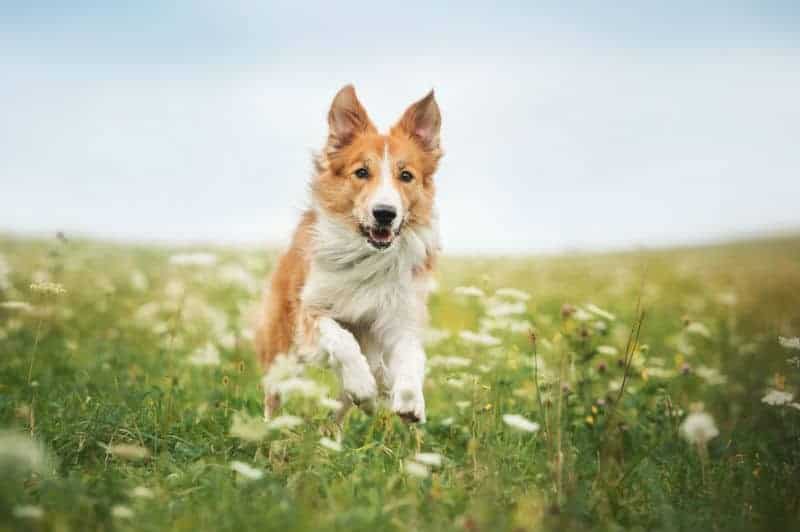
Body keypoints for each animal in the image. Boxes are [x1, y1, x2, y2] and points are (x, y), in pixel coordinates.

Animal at [256, 85, 444, 422]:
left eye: (406, 176)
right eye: (362, 172)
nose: (385, 213)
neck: (367, 256)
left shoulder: (401, 316)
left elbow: (411, 357)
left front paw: (410, 401)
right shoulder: (311, 311)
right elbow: (341, 339)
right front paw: (362, 384)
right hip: (280, 346)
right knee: (274, 394)